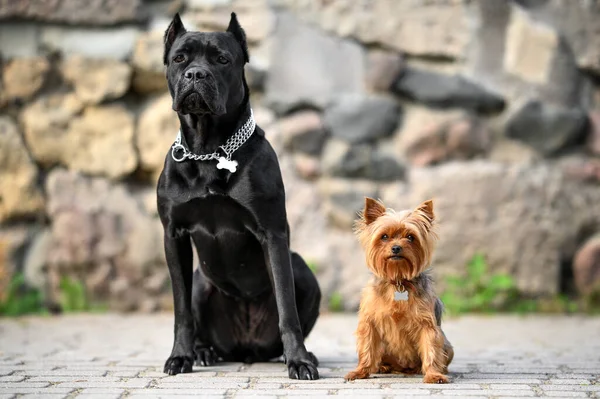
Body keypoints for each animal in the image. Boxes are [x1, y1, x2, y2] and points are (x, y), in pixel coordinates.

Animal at [157, 13, 322, 382]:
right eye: (180, 58)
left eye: (222, 59)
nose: (196, 74)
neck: (207, 150)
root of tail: (246, 349)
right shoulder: (174, 235)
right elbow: (180, 310)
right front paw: (180, 356)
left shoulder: (272, 233)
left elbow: (287, 307)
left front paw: (299, 361)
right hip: (201, 282)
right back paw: (203, 352)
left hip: (302, 269)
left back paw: (302, 354)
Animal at [344, 199, 452, 384]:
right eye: (384, 237)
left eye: (410, 237)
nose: (396, 248)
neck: (398, 281)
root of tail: (403, 368)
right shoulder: (369, 322)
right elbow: (367, 348)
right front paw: (360, 371)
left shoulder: (427, 325)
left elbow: (430, 349)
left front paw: (434, 374)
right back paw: (382, 367)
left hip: (448, 346)